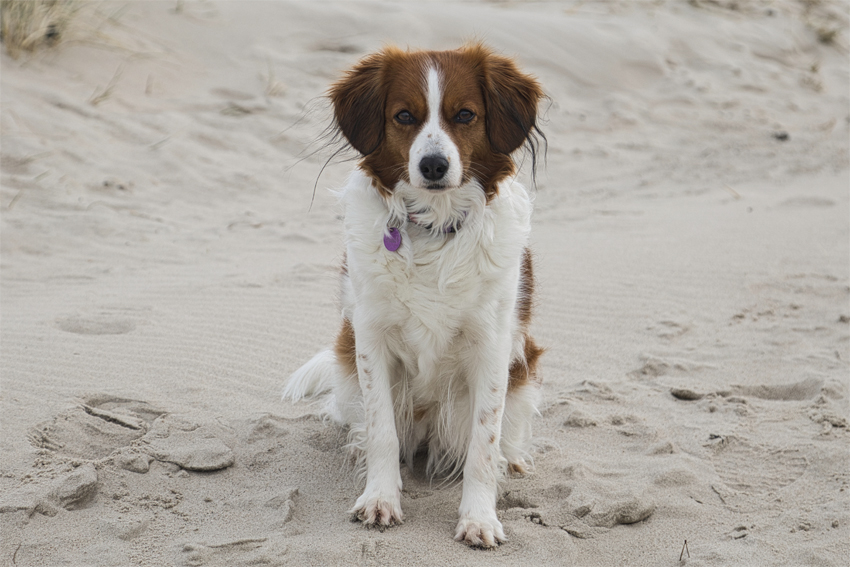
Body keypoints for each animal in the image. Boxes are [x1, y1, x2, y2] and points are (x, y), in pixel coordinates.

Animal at [284, 44, 544, 552]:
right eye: (404, 115)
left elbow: (483, 444)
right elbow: (382, 431)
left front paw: (479, 518)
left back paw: (515, 459)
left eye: (465, 115)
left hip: (521, 374)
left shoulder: (491, 346)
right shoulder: (371, 340)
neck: (434, 228)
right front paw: (380, 499)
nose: (433, 166)